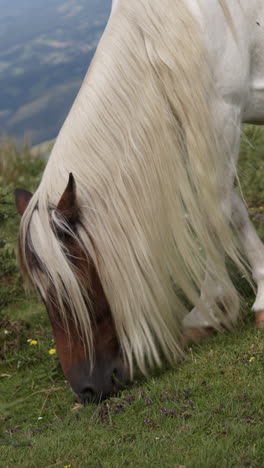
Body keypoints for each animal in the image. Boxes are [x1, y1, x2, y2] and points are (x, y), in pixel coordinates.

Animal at [15, 0, 264, 402]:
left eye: (79, 284)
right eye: (41, 294)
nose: (88, 388)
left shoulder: (222, 118)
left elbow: (219, 213)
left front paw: (234, 305)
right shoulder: (197, 129)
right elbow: (221, 209)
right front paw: (213, 309)